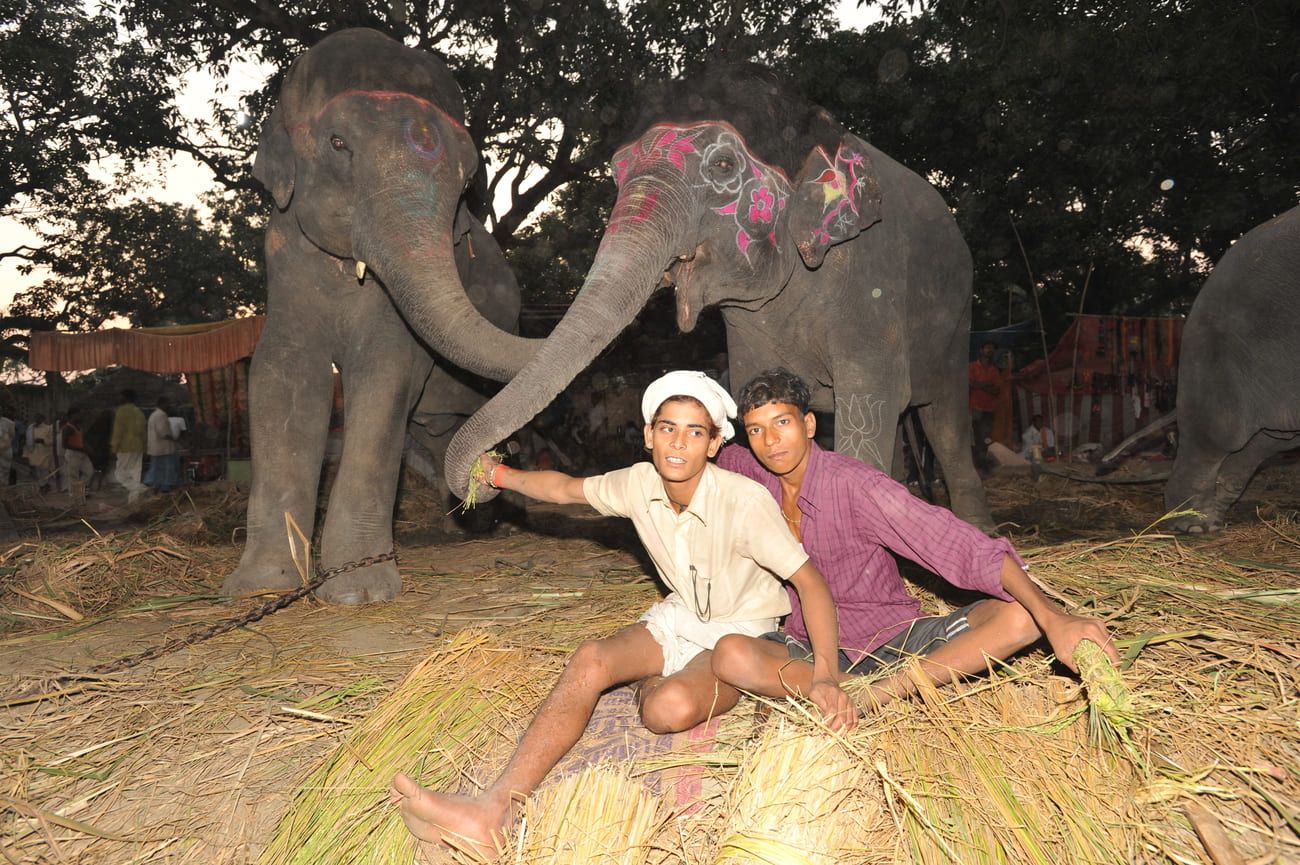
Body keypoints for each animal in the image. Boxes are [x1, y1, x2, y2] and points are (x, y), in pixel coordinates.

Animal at [220, 30, 535, 603]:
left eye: (467, 178)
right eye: (337, 144)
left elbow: (385, 375)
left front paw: (357, 592)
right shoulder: (283, 257)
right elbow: (280, 377)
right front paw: (260, 588)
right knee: (439, 432)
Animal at [441, 64, 987, 525]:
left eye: (723, 165)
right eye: (616, 173)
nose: (489, 470)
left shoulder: (870, 279)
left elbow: (870, 399)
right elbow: (748, 397)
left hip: (956, 317)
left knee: (944, 425)